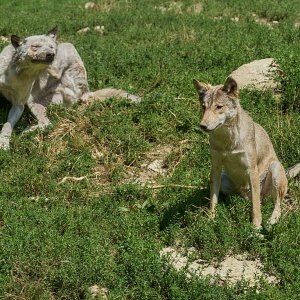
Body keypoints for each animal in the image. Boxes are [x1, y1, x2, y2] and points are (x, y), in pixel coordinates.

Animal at [0, 27, 141, 149]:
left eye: (50, 47)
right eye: (35, 46)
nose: (51, 54)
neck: (16, 73)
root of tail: (86, 91)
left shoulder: (19, 104)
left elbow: (7, 125)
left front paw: (3, 144)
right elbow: (7, 125)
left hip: (35, 99)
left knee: (47, 124)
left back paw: (26, 131)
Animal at [193, 76, 298, 229]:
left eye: (219, 107)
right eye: (203, 107)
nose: (202, 126)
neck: (228, 141)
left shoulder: (251, 169)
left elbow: (255, 208)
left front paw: (256, 227)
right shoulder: (216, 168)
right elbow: (213, 201)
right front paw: (210, 220)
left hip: (275, 169)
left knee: (275, 203)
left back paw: (271, 220)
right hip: (224, 180)